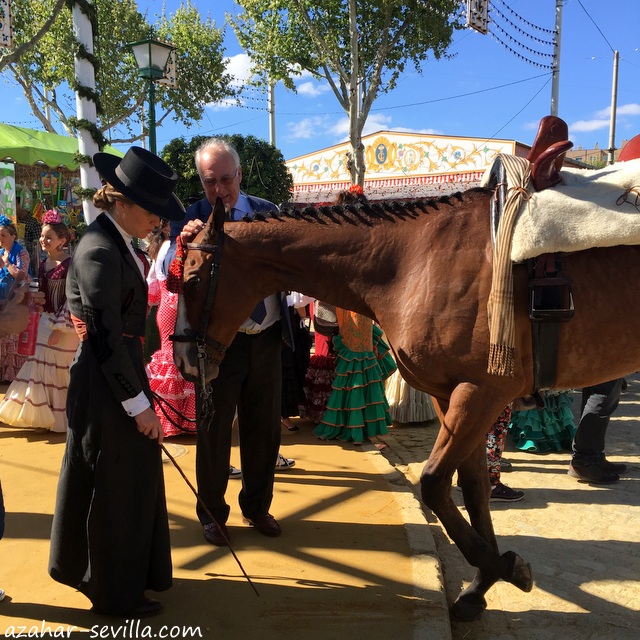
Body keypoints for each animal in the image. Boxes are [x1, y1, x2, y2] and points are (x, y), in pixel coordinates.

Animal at [172, 192, 640, 624]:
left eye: (192, 280)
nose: (184, 360)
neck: (414, 261)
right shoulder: (457, 396)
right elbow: (472, 487)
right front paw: (483, 582)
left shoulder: (481, 392)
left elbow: (435, 484)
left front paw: (505, 569)